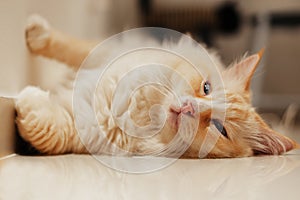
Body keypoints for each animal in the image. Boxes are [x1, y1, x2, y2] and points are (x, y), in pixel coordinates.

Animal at [15, 14, 298, 159]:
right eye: (206, 88)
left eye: (220, 129)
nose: (189, 108)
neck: (142, 108)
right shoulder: (109, 53)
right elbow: (69, 46)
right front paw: (35, 34)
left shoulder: (89, 130)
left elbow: (48, 133)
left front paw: (27, 99)